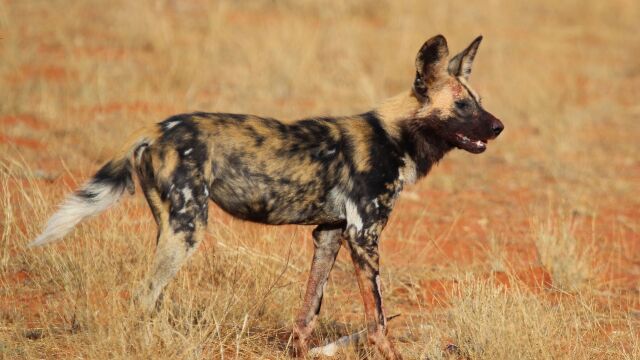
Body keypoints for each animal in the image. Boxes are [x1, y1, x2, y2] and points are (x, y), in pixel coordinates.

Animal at [31, 34, 504, 360]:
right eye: (462, 106)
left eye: (479, 101)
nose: (499, 126)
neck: (395, 136)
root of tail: (156, 128)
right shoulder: (363, 236)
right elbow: (378, 321)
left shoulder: (330, 233)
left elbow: (308, 310)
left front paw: (297, 351)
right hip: (189, 228)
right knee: (144, 295)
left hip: (171, 227)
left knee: (153, 296)